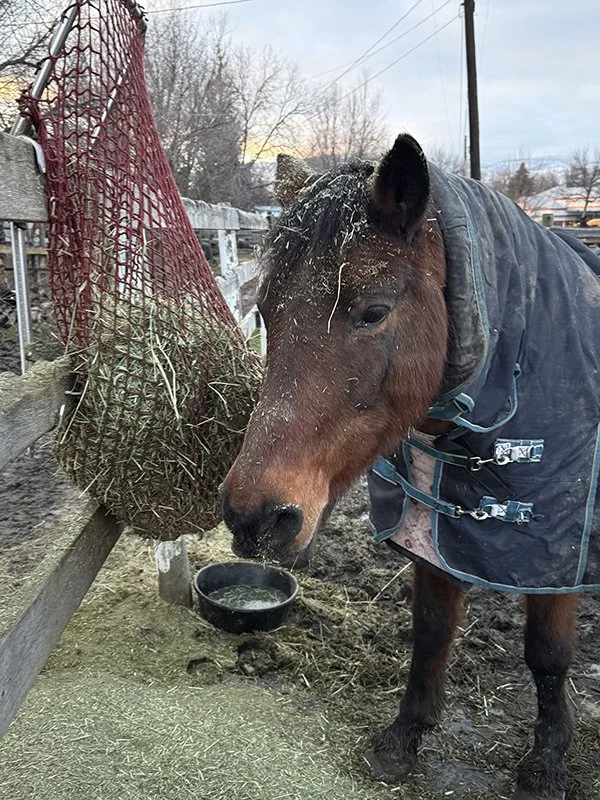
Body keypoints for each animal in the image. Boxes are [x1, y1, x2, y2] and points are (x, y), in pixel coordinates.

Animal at [222, 134, 600, 800]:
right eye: (264, 311)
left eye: (373, 311)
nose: (254, 516)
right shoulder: (436, 528)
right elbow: (430, 629)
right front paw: (405, 736)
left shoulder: (556, 549)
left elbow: (548, 652)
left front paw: (549, 759)